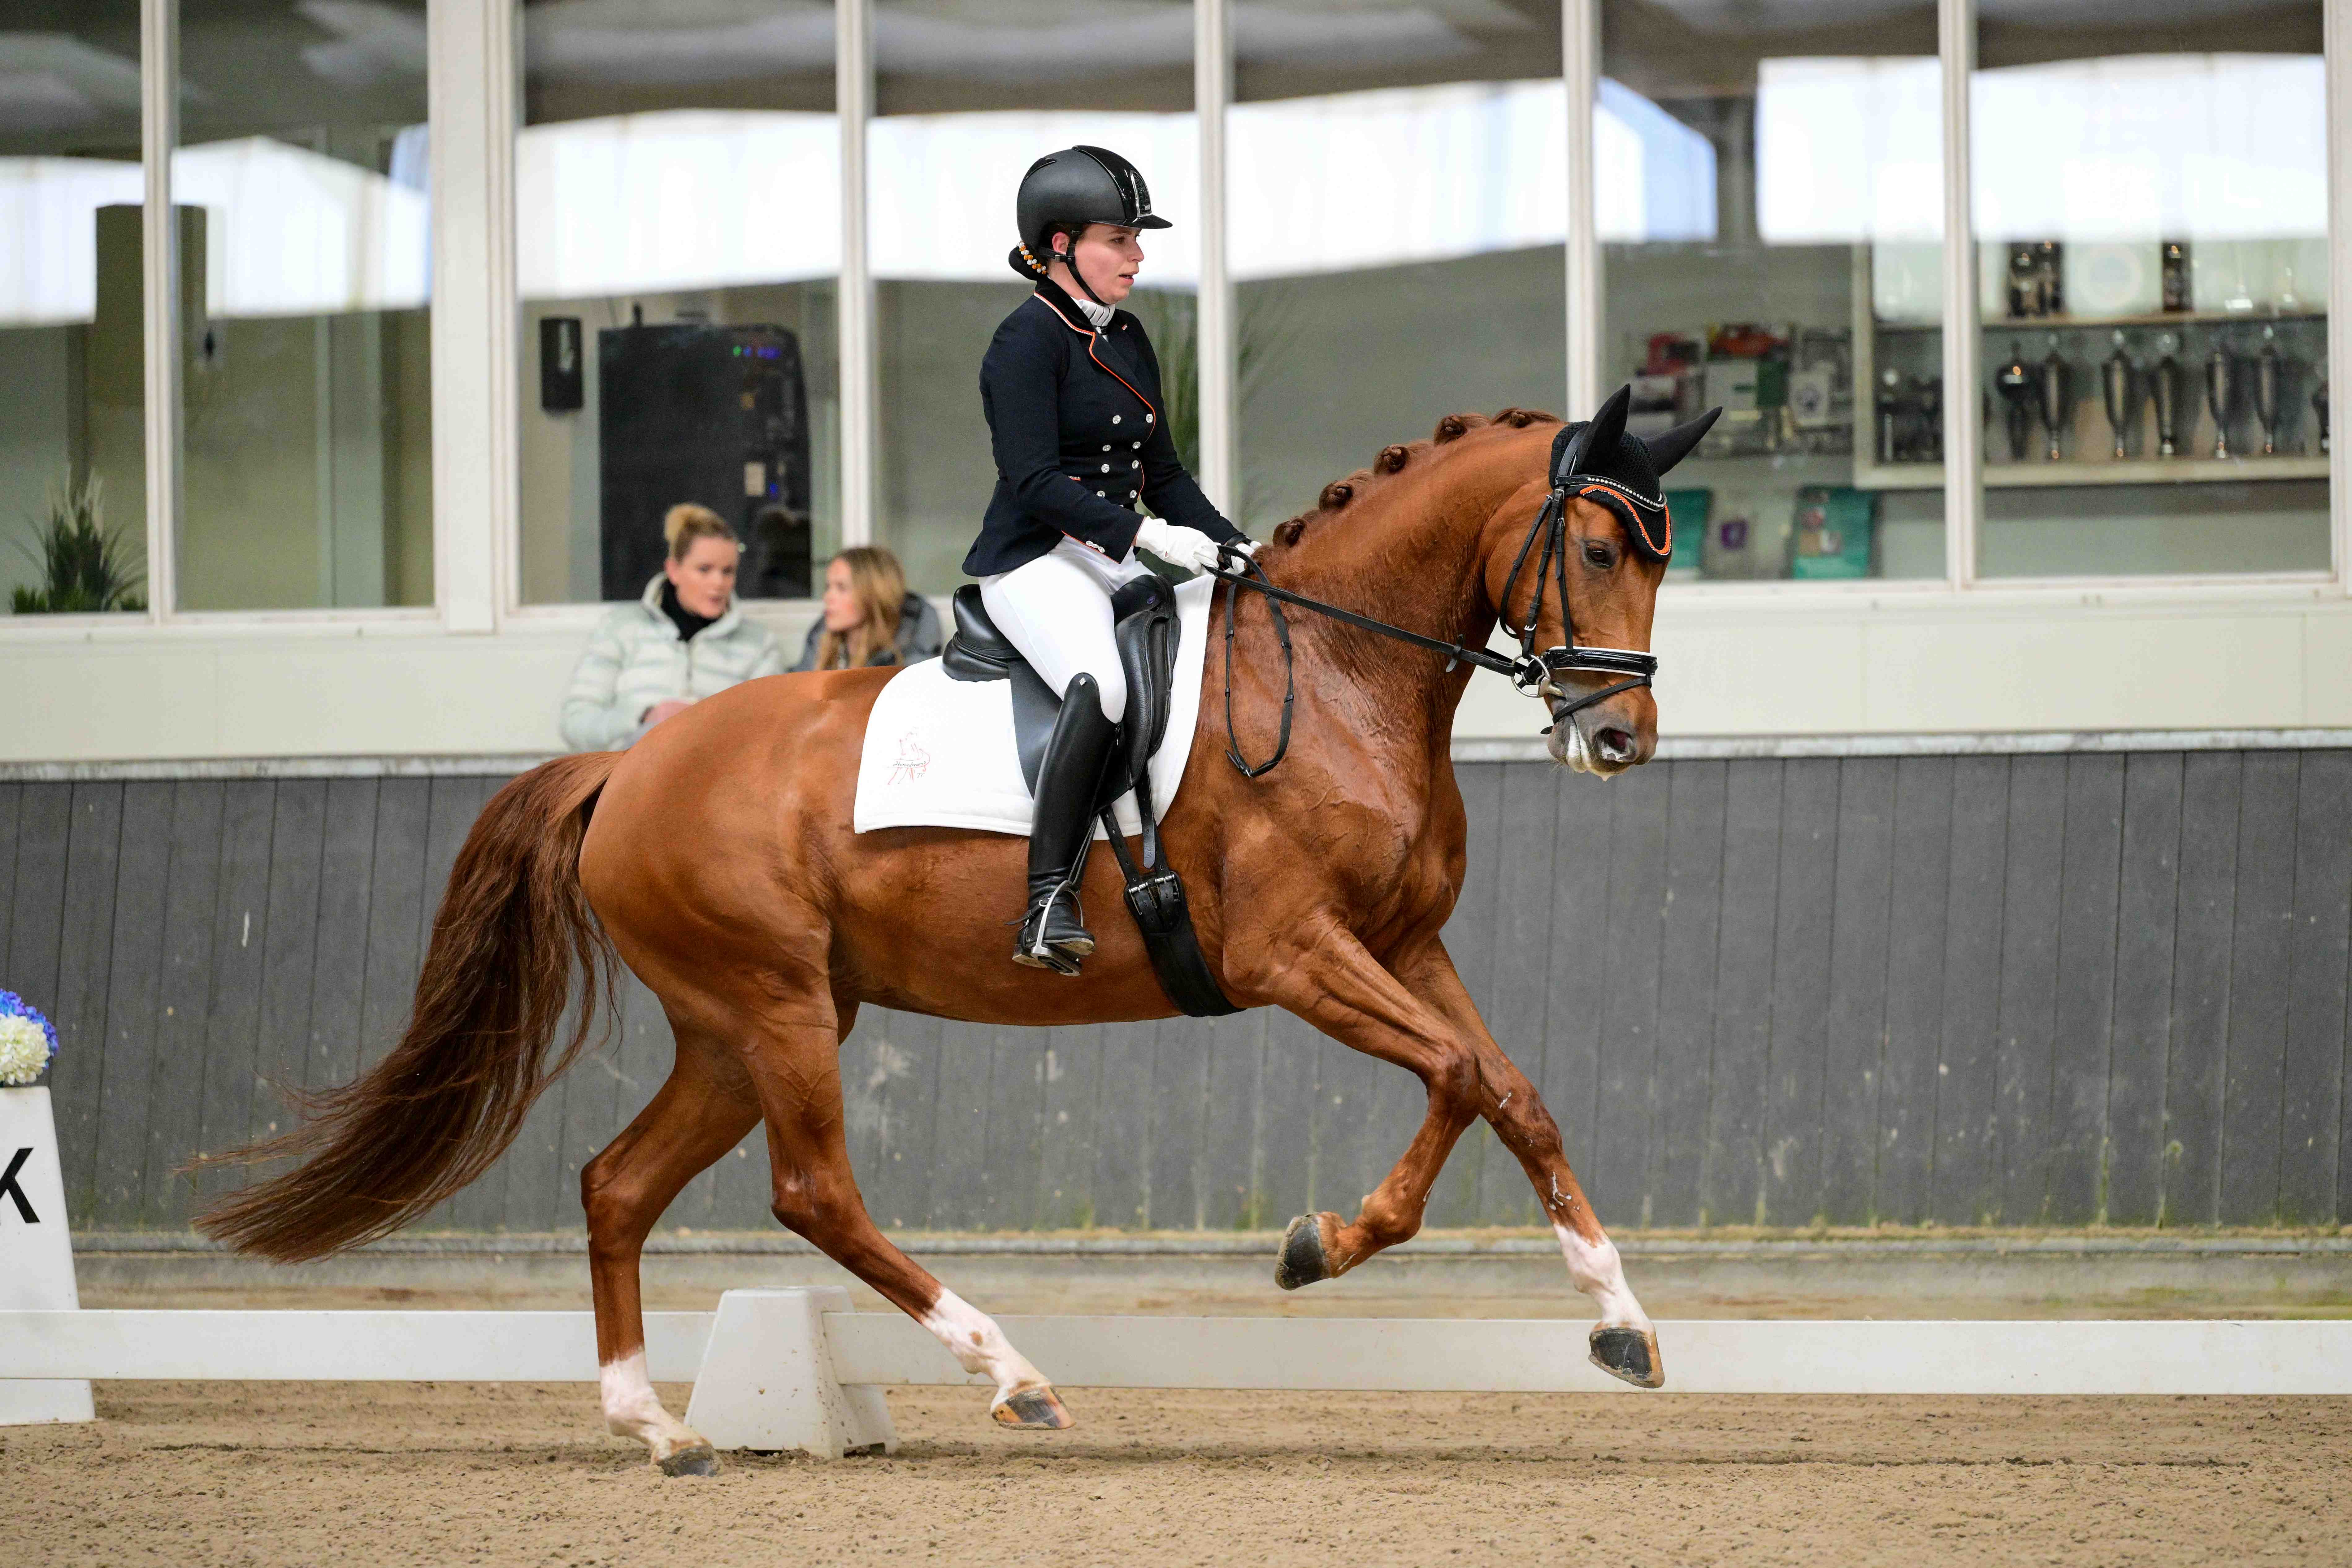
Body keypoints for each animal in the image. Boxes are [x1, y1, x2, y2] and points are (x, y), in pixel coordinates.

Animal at [197, 396, 1680, 1476]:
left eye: (1662, 558)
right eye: (1600, 551)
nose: (1619, 737)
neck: (1331, 678)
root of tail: (627, 767)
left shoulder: (1406, 945)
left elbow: (1510, 1091)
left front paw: (1619, 1322)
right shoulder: (1292, 955)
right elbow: (1456, 1075)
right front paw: (1323, 1242)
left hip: (736, 1026)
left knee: (618, 1184)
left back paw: (661, 1429)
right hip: (778, 1007)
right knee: (812, 1193)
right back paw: (1010, 1374)